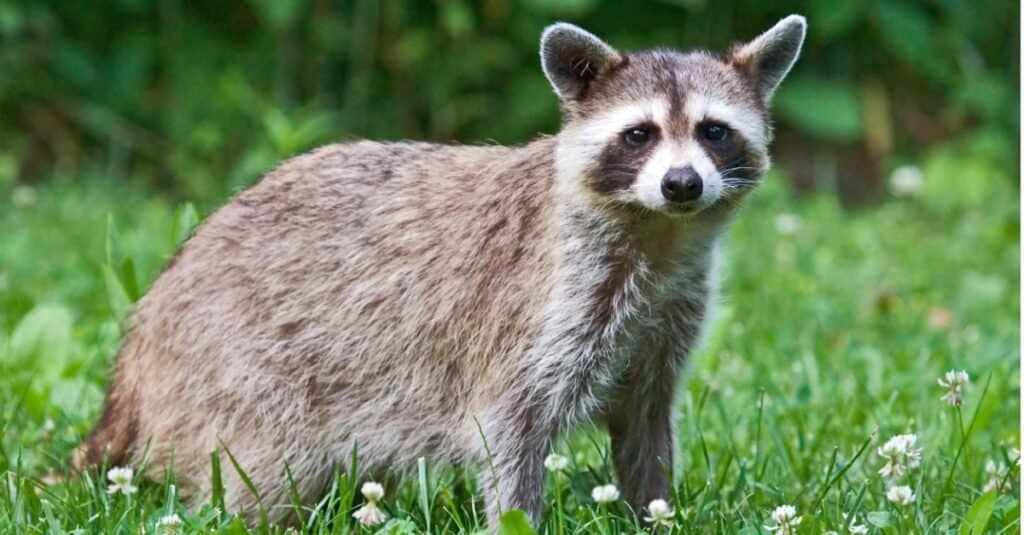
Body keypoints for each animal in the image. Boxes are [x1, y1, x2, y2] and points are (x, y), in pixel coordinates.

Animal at [75, 15, 802, 524]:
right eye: (640, 134)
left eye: (713, 131)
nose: (682, 184)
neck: (659, 235)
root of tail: (145, 334)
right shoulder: (539, 310)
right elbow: (508, 431)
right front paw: (518, 520)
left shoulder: (665, 318)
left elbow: (646, 427)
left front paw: (653, 512)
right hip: (236, 373)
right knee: (265, 479)